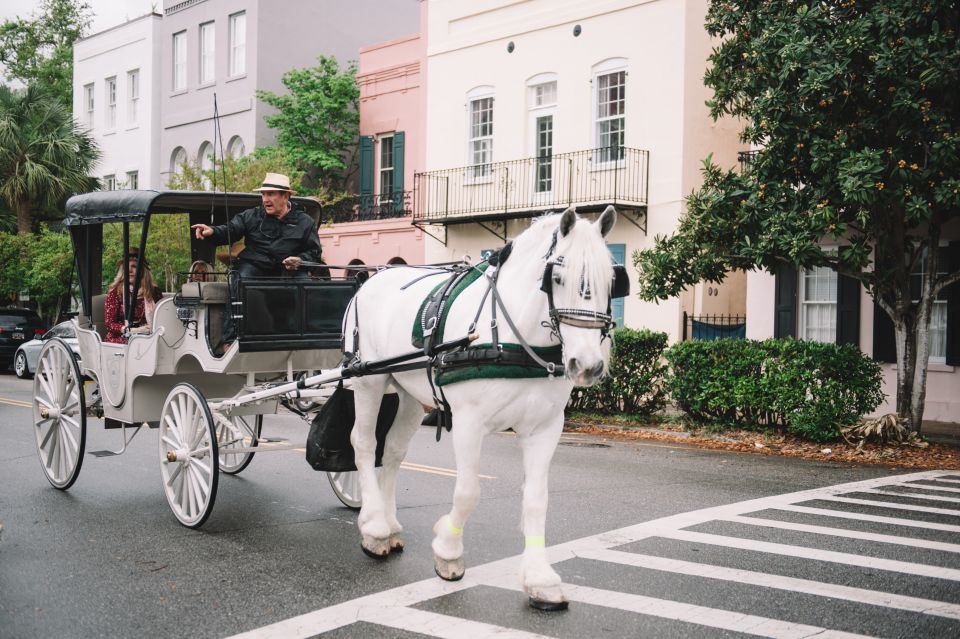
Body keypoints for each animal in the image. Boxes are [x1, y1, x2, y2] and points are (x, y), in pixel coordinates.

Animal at [342, 206, 620, 608]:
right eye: (557, 277)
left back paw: (388, 524)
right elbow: (468, 491)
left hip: (410, 393)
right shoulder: (468, 422)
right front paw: (448, 550)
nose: (587, 365)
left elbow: (537, 499)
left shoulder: (545, 427)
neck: (509, 335)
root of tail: (371, 278)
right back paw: (375, 527)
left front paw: (540, 578)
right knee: (363, 445)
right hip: (368, 381)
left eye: (612, 281)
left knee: (392, 451)